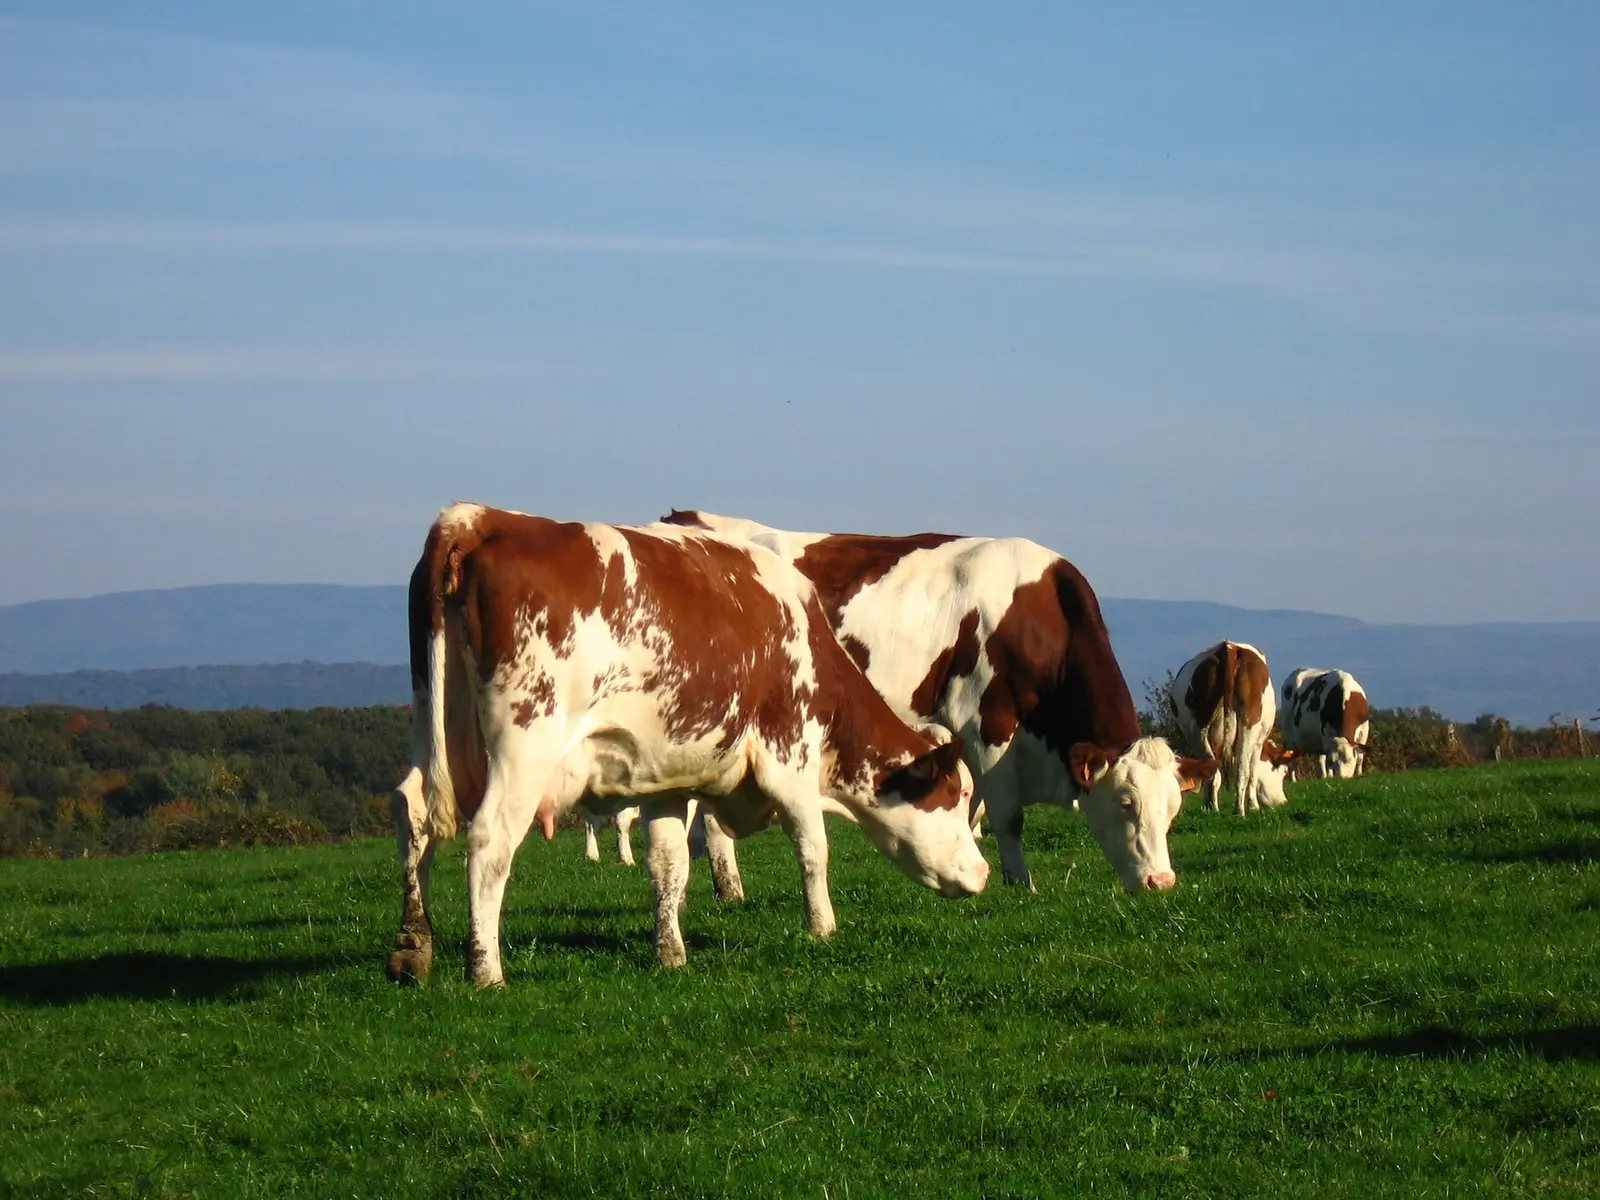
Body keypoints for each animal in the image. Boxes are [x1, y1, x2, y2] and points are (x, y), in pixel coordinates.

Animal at [387, 504, 989, 988]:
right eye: (955, 799)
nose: (983, 874)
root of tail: (481, 519)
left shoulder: (663, 779)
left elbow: (669, 863)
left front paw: (670, 953)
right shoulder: (790, 756)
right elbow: (813, 847)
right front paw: (823, 927)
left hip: (435, 724)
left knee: (413, 811)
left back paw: (413, 946)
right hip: (525, 743)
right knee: (490, 838)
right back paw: (485, 969)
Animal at [661, 510, 1218, 892]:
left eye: (1174, 809)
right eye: (1126, 802)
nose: (1161, 882)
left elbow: (969, 809)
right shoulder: (989, 723)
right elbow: (1006, 816)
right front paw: (1022, 885)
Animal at [1168, 641, 1296, 816]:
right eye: (1283, 772)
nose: (1283, 801)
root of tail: (1230, 647)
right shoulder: (1258, 744)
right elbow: (1253, 772)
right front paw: (1253, 806)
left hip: (1198, 729)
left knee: (1213, 768)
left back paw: (1214, 808)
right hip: (1249, 724)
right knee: (1243, 769)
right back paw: (1239, 811)